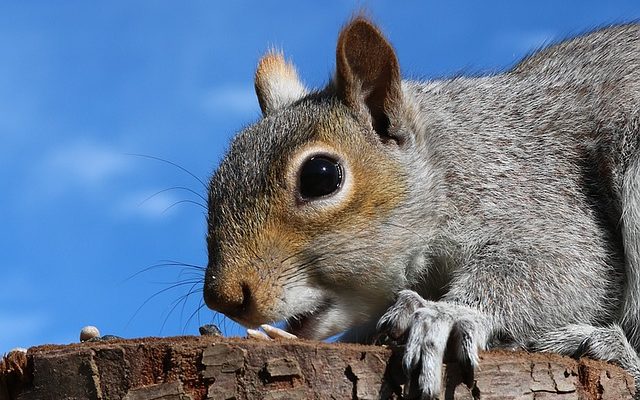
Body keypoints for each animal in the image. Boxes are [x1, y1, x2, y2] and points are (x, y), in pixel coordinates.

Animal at [204, 14, 640, 396]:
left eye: (320, 176)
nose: (223, 298)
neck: (445, 164)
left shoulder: (539, 193)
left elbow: (568, 268)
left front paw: (444, 317)